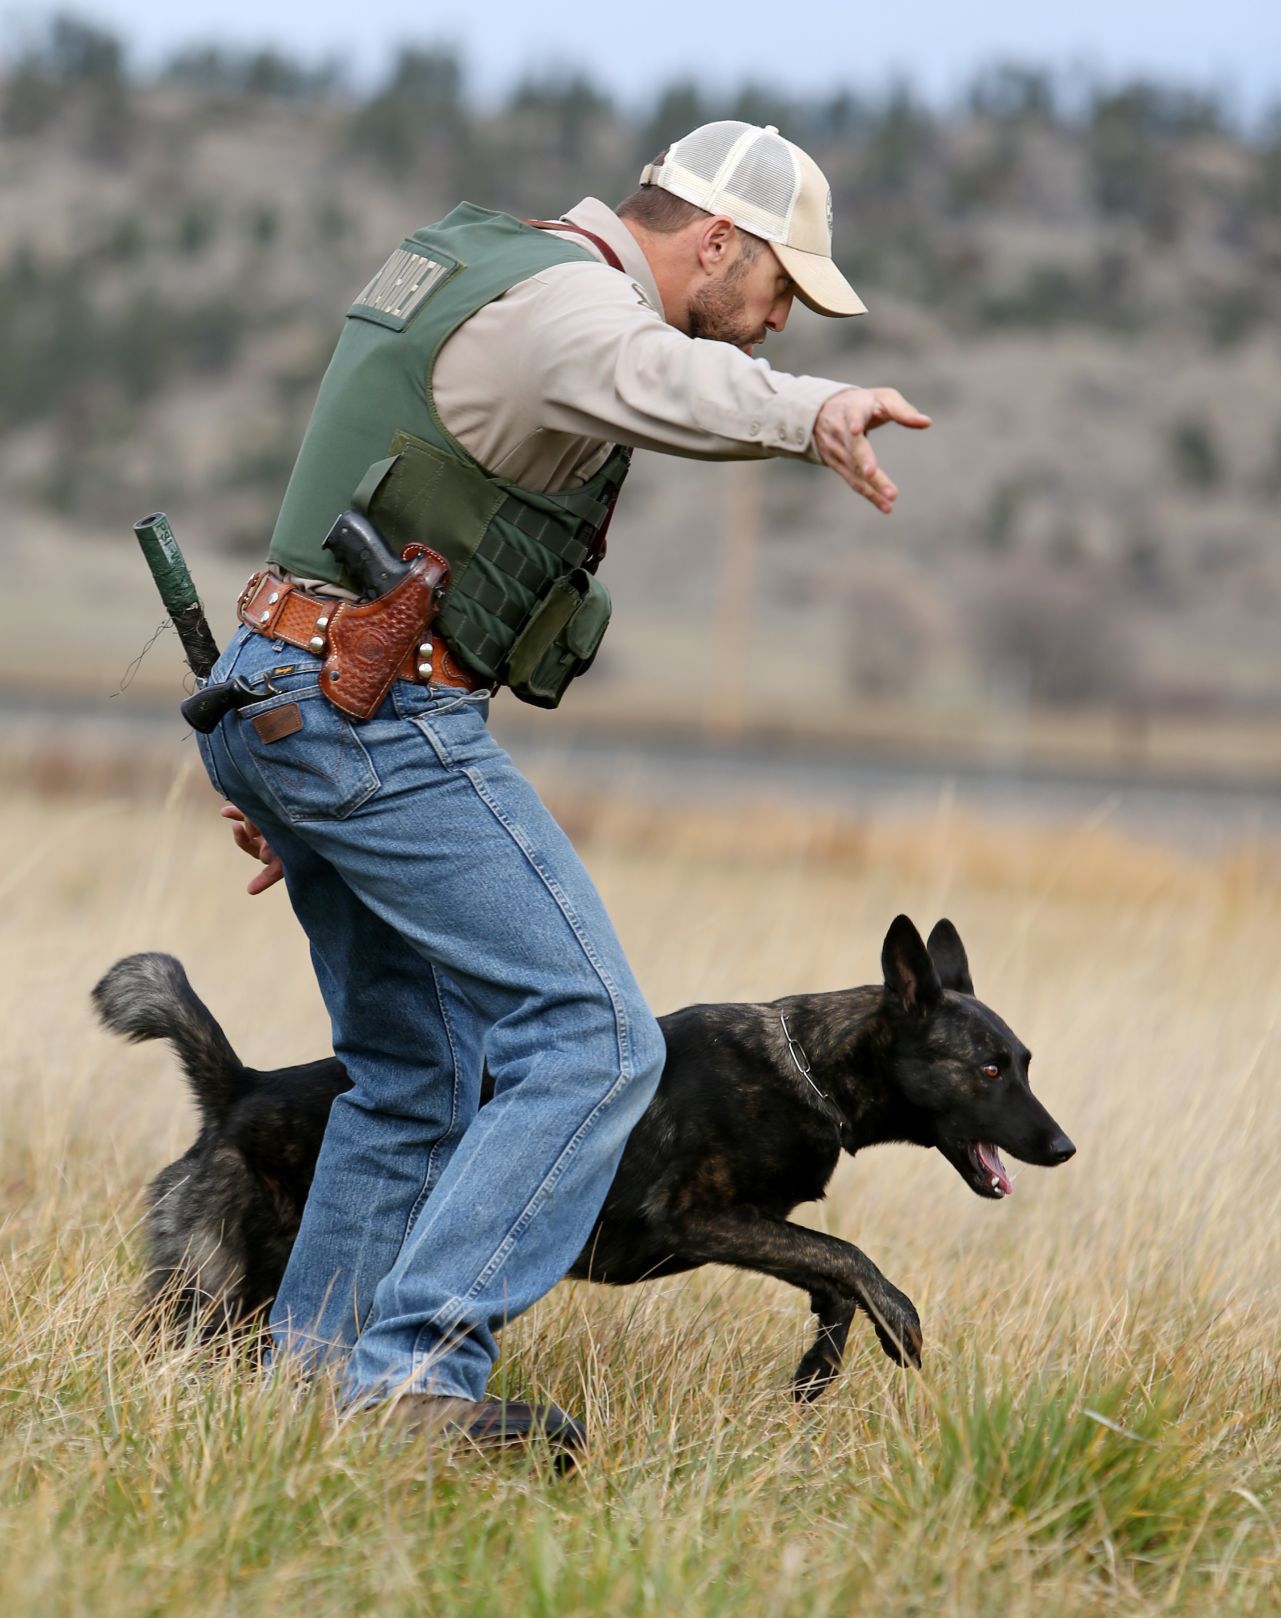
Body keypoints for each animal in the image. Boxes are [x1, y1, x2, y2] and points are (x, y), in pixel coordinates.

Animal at [92, 919, 1073, 1397]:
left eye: (1026, 1062)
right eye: (988, 1069)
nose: (1062, 1147)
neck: (808, 1066)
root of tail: (241, 1089)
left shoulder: (750, 1224)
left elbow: (827, 1276)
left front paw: (817, 1372)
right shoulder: (700, 1218)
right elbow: (845, 1256)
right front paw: (896, 1323)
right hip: (212, 1296)